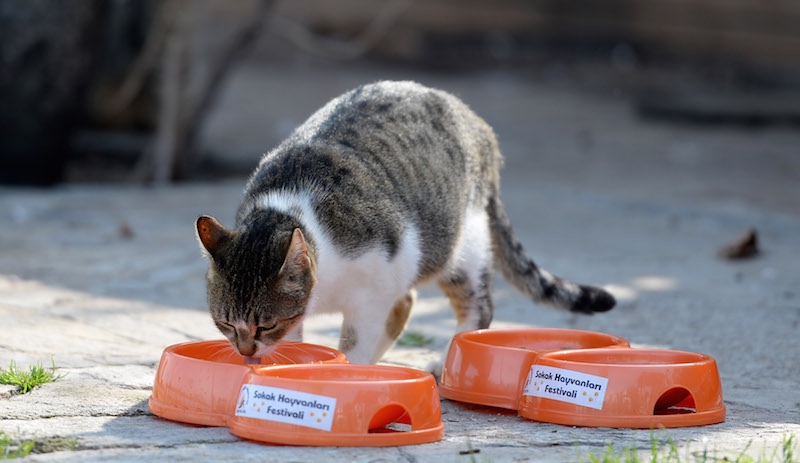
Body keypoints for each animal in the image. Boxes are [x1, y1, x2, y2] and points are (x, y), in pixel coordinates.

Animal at [197, 81, 616, 368]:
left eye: (265, 326)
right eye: (225, 324)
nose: (245, 351)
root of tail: (477, 124)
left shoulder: (375, 284)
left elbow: (355, 341)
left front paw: (350, 371)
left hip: (459, 245)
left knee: (477, 308)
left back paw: (446, 363)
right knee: (409, 301)